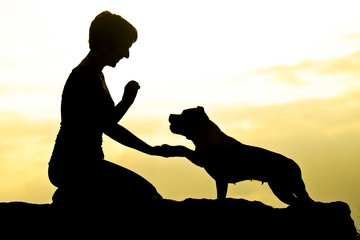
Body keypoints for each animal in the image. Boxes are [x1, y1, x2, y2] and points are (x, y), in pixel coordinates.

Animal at [166, 106, 312, 205]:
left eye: (184, 114)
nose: (170, 114)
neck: (204, 135)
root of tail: (294, 164)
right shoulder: (219, 179)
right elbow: (220, 196)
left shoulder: (202, 161)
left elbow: (183, 149)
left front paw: (168, 149)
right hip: (280, 188)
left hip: (287, 187)